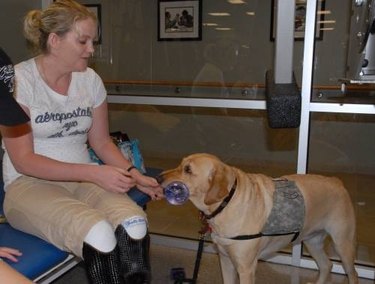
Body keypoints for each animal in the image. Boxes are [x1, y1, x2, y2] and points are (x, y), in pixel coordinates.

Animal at [159, 153, 358, 284]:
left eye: (187, 169)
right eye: (181, 164)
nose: (159, 177)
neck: (227, 203)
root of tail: (336, 181)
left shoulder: (246, 268)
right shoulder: (225, 259)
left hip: (343, 245)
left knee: (352, 274)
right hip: (312, 241)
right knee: (327, 265)